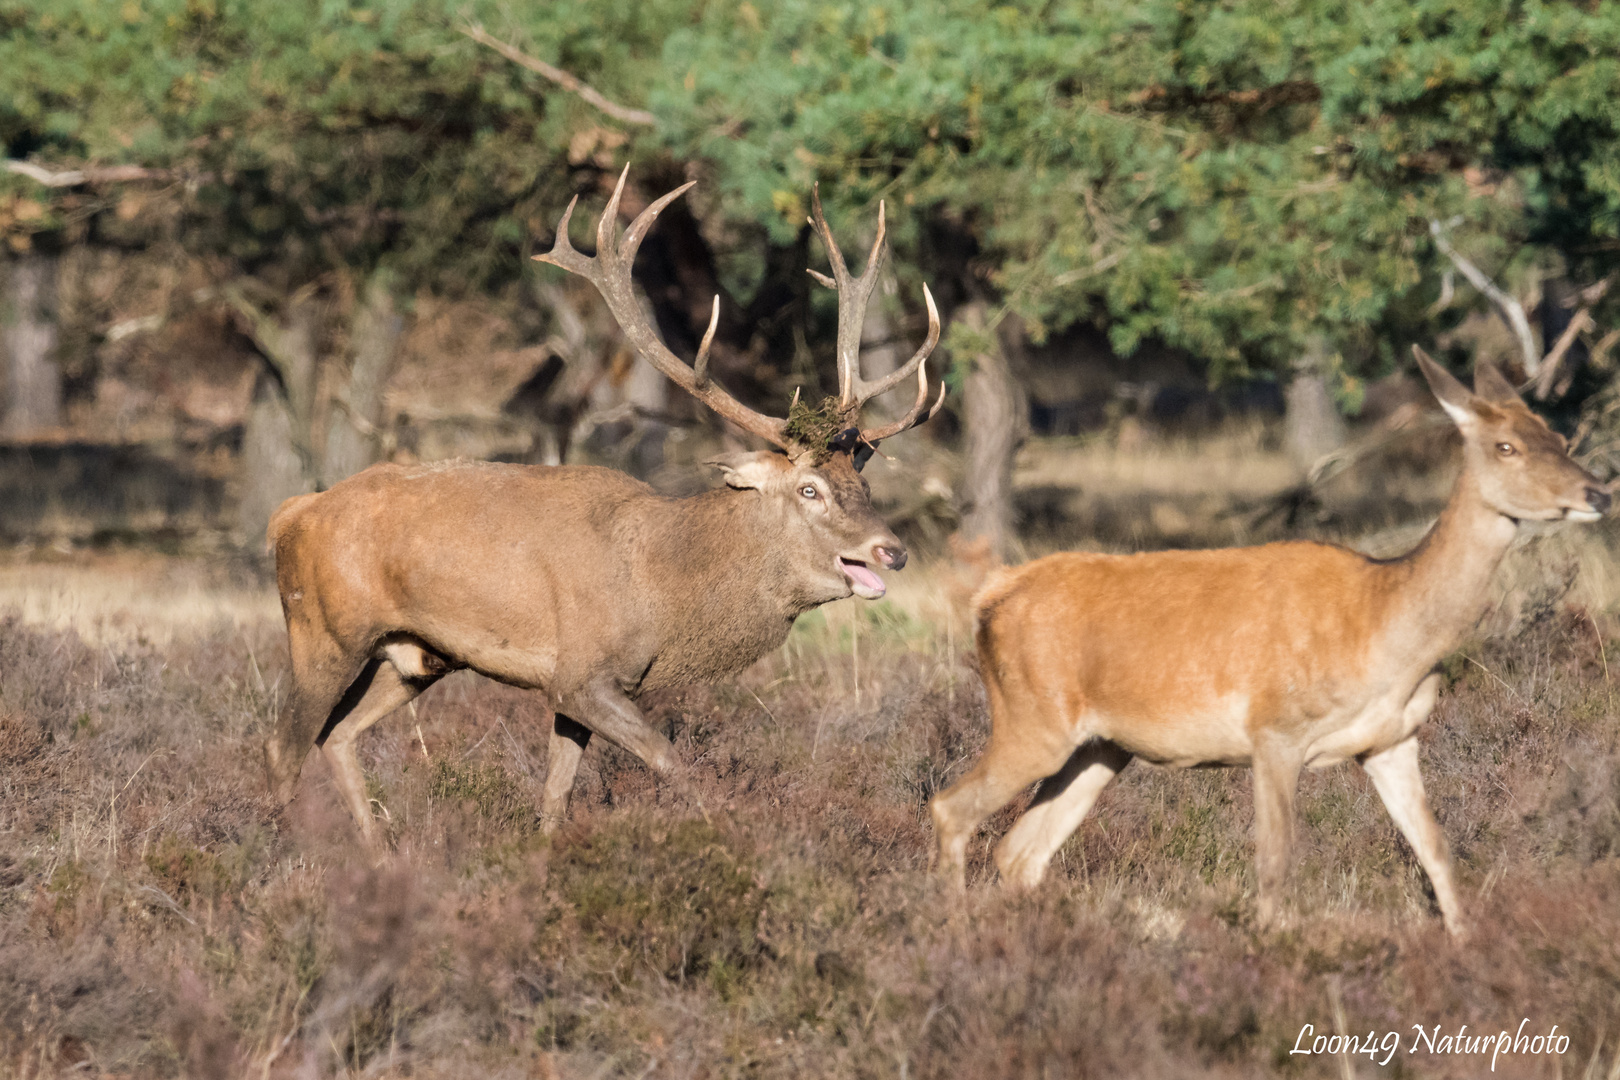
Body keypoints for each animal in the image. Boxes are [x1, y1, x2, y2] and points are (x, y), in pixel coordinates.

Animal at [270, 170, 946, 841]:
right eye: (809, 489)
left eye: (864, 486)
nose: (892, 550)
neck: (660, 587)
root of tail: (290, 513)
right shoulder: (581, 675)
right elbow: (672, 761)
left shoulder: (581, 688)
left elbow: (555, 799)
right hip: (321, 630)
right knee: (287, 746)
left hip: (415, 656)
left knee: (338, 736)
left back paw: (379, 852)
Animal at [933, 351, 1613, 939]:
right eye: (1506, 445)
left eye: (1558, 437)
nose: (1598, 493)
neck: (1384, 626)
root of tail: (990, 597)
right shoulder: (1275, 731)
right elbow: (1276, 863)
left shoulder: (1393, 740)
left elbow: (1438, 852)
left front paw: (1466, 950)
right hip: (1032, 718)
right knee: (952, 809)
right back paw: (955, 936)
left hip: (1100, 748)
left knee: (1019, 849)